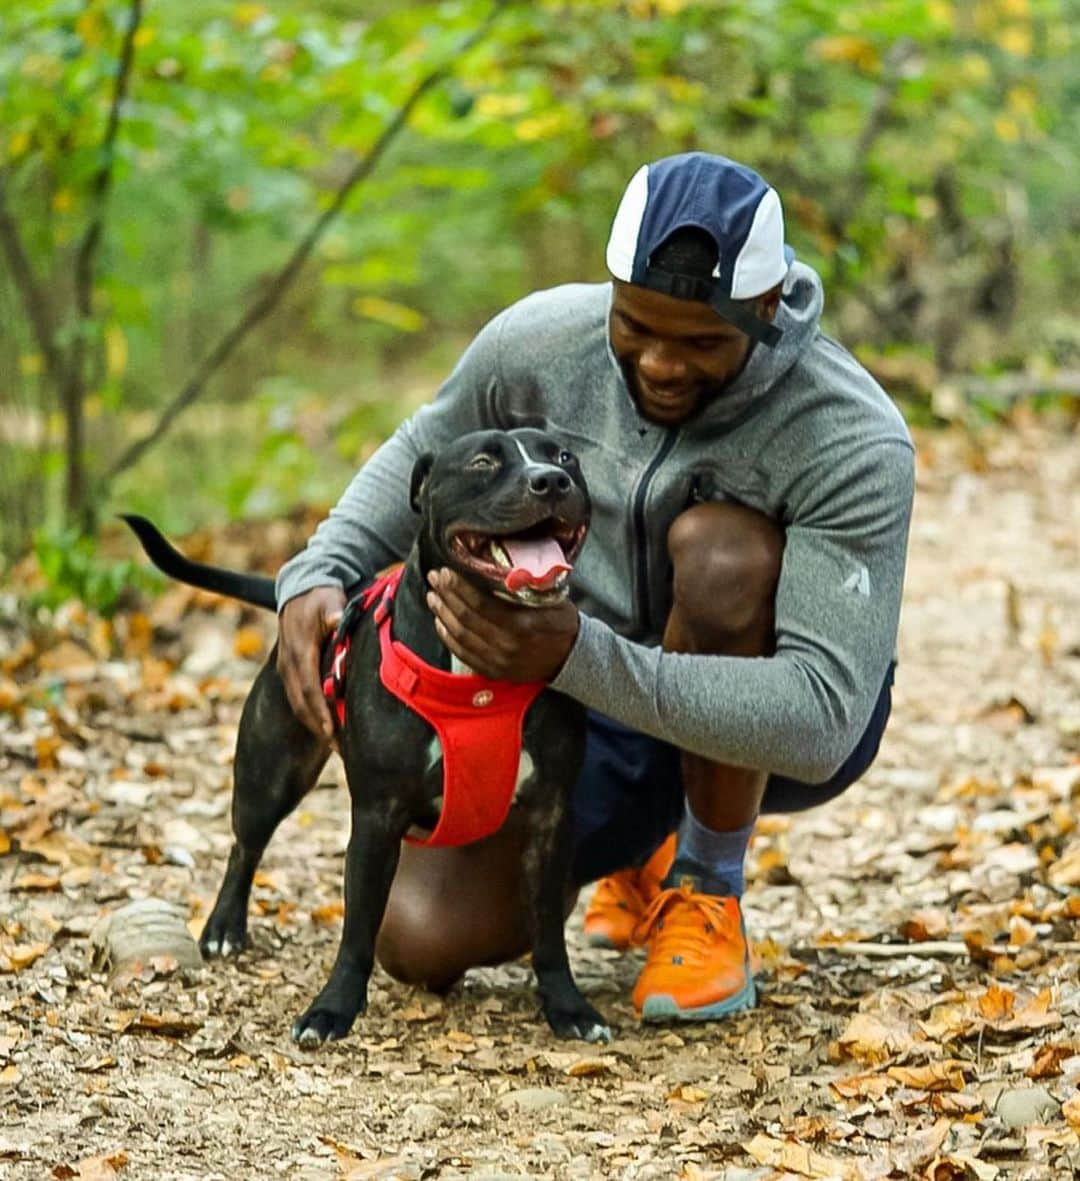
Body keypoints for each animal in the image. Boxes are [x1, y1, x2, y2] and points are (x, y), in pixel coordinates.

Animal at [122, 427, 609, 1044]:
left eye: (566, 457)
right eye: (482, 462)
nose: (551, 480)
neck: (477, 678)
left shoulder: (550, 816)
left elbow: (548, 929)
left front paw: (568, 1006)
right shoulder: (377, 818)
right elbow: (357, 929)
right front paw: (332, 1009)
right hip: (270, 771)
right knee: (244, 845)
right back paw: (224, 926)